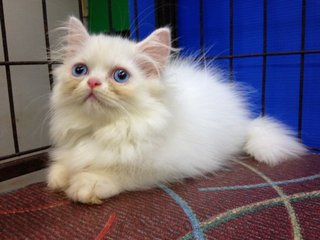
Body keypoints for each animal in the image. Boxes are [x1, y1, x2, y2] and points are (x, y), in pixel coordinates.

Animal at [47, 16, 304, 203]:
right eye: (80, 70)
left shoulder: (167, 165)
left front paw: (87, 183)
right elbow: (66, 163)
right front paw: (58, 176)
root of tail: (244, 122)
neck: (103, 129)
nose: (92, 83)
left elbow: (120, 171)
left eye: (120, 76)